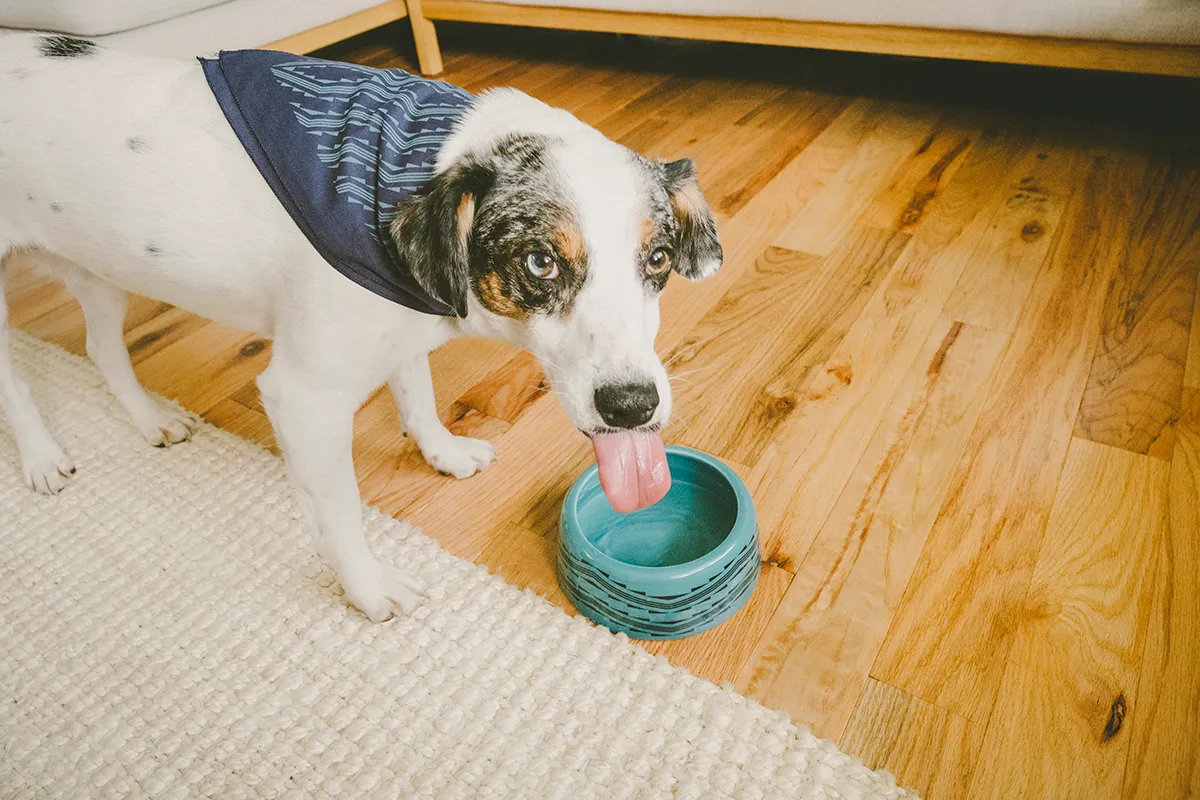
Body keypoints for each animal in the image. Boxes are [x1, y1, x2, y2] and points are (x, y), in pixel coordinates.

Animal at [0, 31, 720, 623]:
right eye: (539, 262)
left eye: (659, 259)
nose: (633, 407)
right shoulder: (304, 398)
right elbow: (341, 512)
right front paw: (369, 591)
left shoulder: (403, 316)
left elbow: (418, 398)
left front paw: (444, 453)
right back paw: (41, 458)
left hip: (97, 266)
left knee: (100, 348)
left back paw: (150, 419)